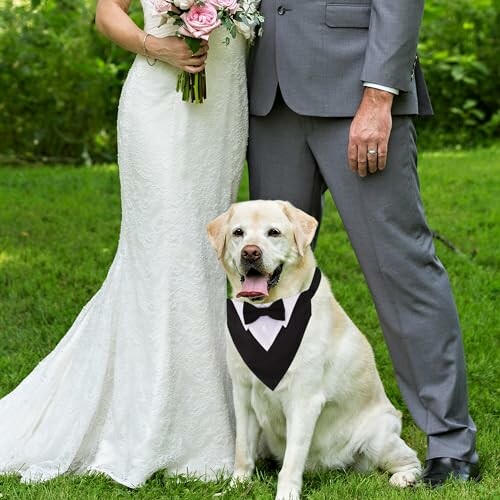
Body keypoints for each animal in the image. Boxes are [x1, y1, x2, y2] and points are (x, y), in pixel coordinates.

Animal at [207, 200, 422, 500]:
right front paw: (236, 487)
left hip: (378, 437)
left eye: (274, 232)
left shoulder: (304, 400)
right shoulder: (244, 394)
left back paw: (405, 478)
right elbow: (242, 450)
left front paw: (286, 495)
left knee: (411, 458)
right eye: (238, 233)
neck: (268, 312)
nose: (250, 252)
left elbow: (292, 460)